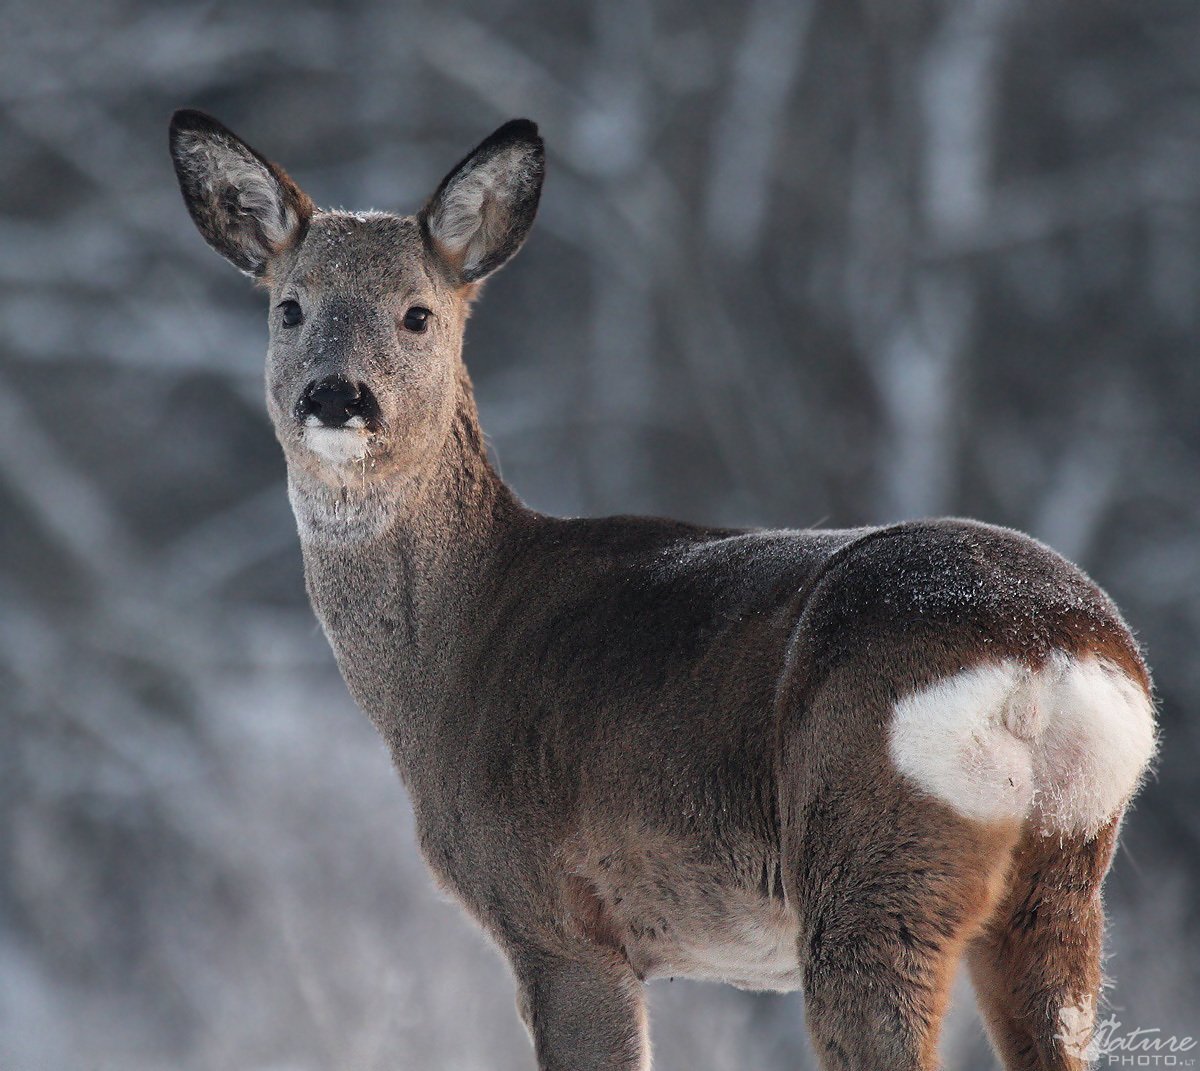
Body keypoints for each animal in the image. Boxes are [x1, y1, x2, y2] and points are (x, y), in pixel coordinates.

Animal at [169, 111, 1152, 1071]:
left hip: (873, 850)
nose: (338, 398)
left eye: (417, 313)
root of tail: (1044, 649)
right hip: (1062, 877)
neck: (456, 643)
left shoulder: (557, 914)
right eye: (289, 308)